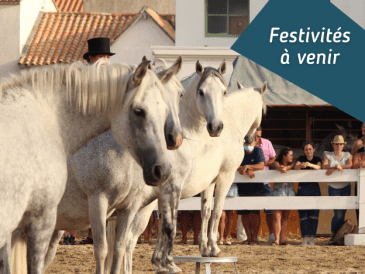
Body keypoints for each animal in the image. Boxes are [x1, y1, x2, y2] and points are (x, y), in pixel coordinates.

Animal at [0, 58, 174, 272]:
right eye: (139, 111)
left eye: (165, 109)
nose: (162, 169)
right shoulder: (95, 202)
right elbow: (102, 250)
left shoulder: (128, 208)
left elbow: (119, 249)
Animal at [117, 80, 268, 272]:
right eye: (263, 109)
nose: (250, 139)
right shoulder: (225, 176)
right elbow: (217, 211)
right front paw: (213, 248)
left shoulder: (208, 183)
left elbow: (205, 211)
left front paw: (203, 247)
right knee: (128, 240)